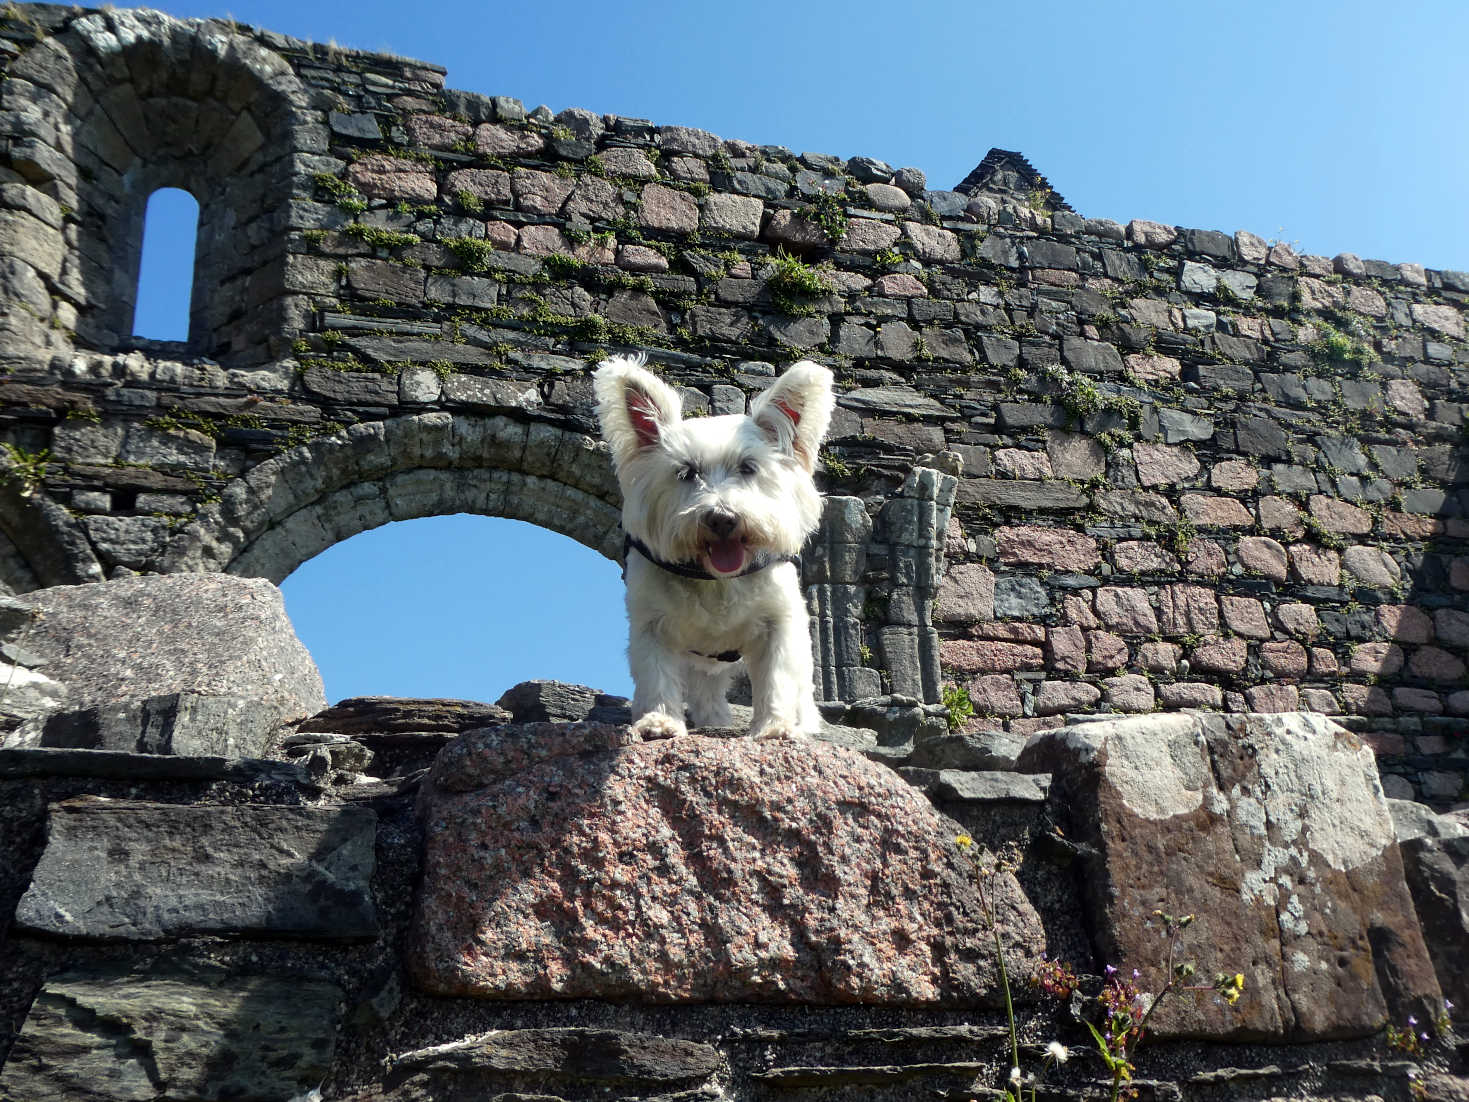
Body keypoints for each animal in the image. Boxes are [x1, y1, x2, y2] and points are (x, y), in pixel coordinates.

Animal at [587, 358, 840, 746]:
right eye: (686, 472)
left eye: (748, 467)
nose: (722, 518)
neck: (715, 578)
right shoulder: (651, 624)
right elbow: (656, 674)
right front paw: (659, 722)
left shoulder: (779, 622)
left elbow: (778, 676)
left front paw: (776, 726)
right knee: (705, 686)